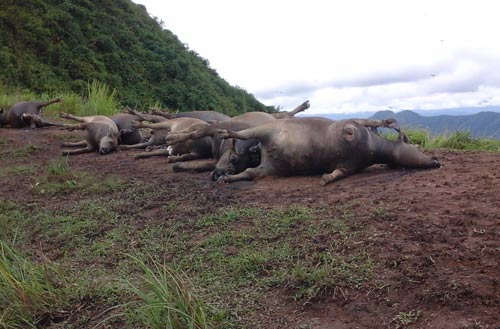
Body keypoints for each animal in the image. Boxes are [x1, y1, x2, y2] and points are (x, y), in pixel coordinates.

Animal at [217, 117, 440, 184]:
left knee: (249, 172)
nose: (436, 161)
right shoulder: (352, 126)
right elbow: (359, 125)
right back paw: (226, 132)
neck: (374, 148)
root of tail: (267, 150)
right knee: (242, 134)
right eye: (415, 146)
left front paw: (326, 178)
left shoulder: (348, 167)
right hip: (267, 129)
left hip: (271, 169)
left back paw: (228, 177)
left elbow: (338, 173)